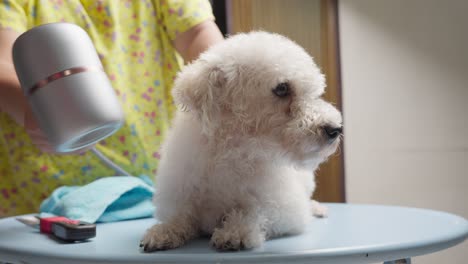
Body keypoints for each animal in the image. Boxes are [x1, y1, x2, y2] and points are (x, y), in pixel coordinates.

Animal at [141, 31, 342, 252]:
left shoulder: (286, 208)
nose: (335, 129)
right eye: (282, 88)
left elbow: (255, 211)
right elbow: (181, 217)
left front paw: (236, 231)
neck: (234, 152)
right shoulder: (180, 197)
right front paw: (164, 231)